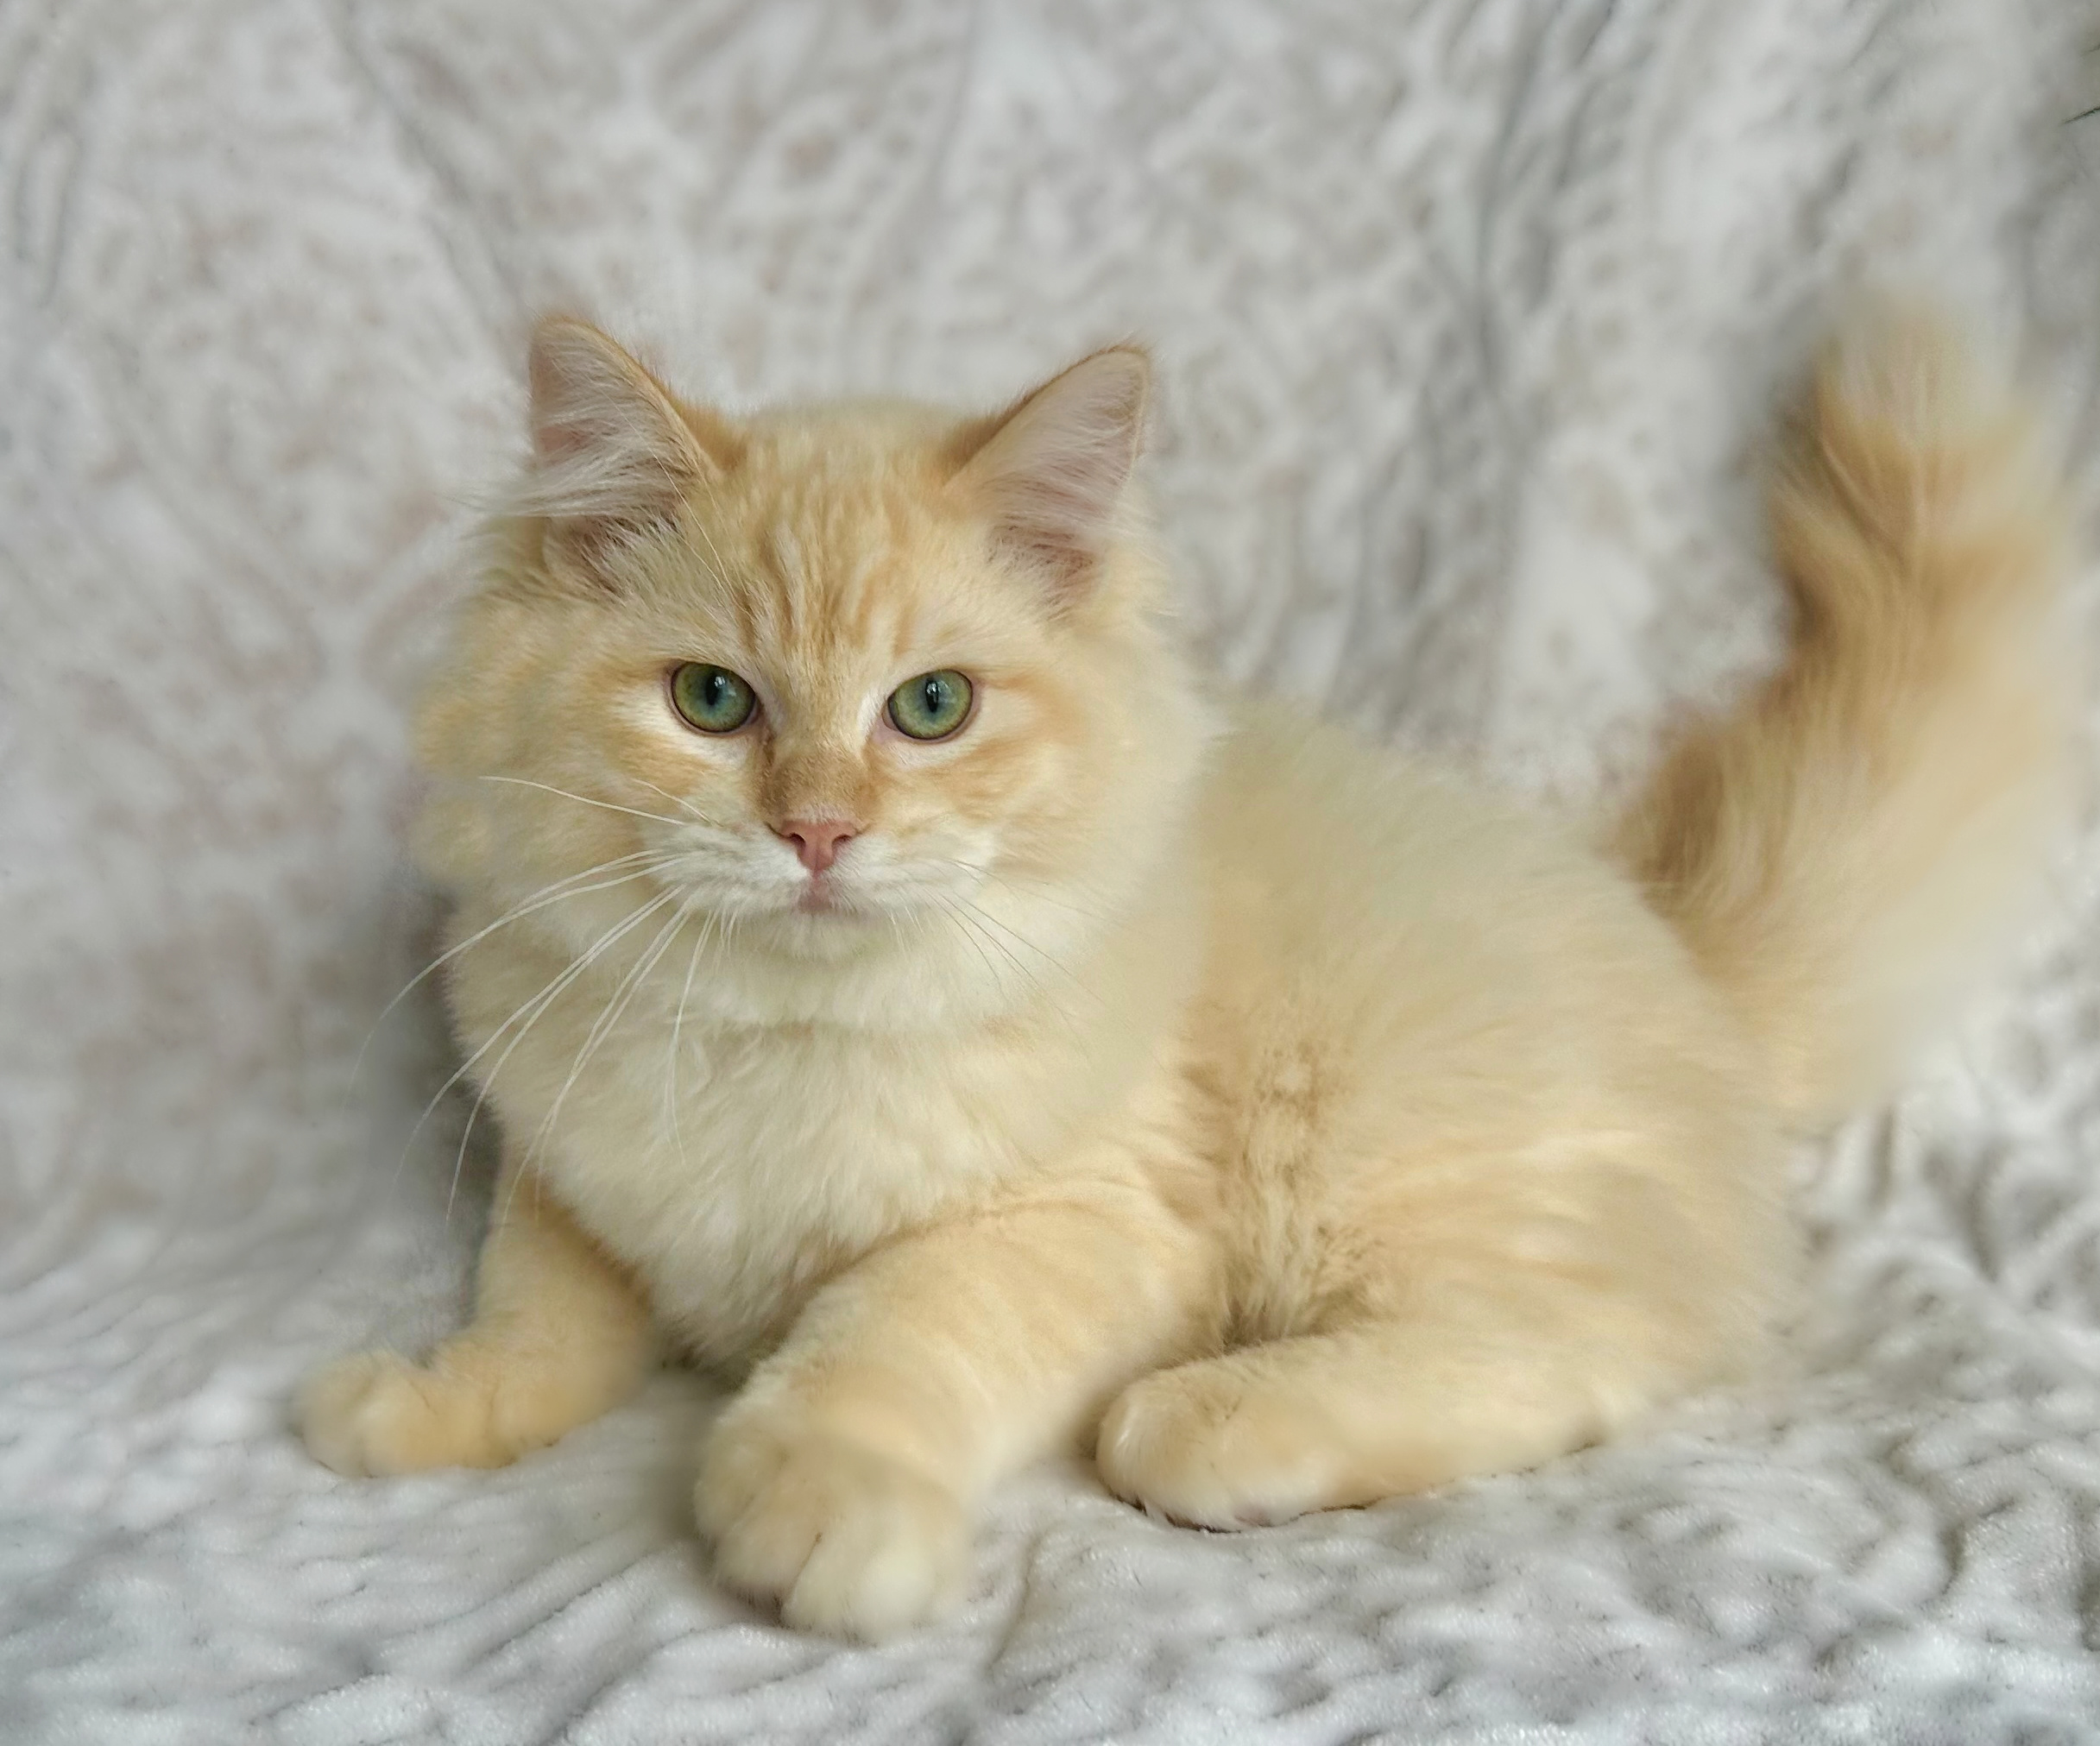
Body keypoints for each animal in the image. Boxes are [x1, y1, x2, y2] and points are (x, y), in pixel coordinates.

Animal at [300, 311, 2083, 1638]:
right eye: (711, 700)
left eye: (930, 707)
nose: (814, 829)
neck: (788, 1032)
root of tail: (1677, 943)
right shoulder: (565, 1175)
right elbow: (536, 1322)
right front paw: (416, 1407)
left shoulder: (1077, 1219)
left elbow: (879, 1332)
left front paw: (819, 1500)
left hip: (1381, 1159)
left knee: (1581, 1358)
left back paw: (1218, 1425)